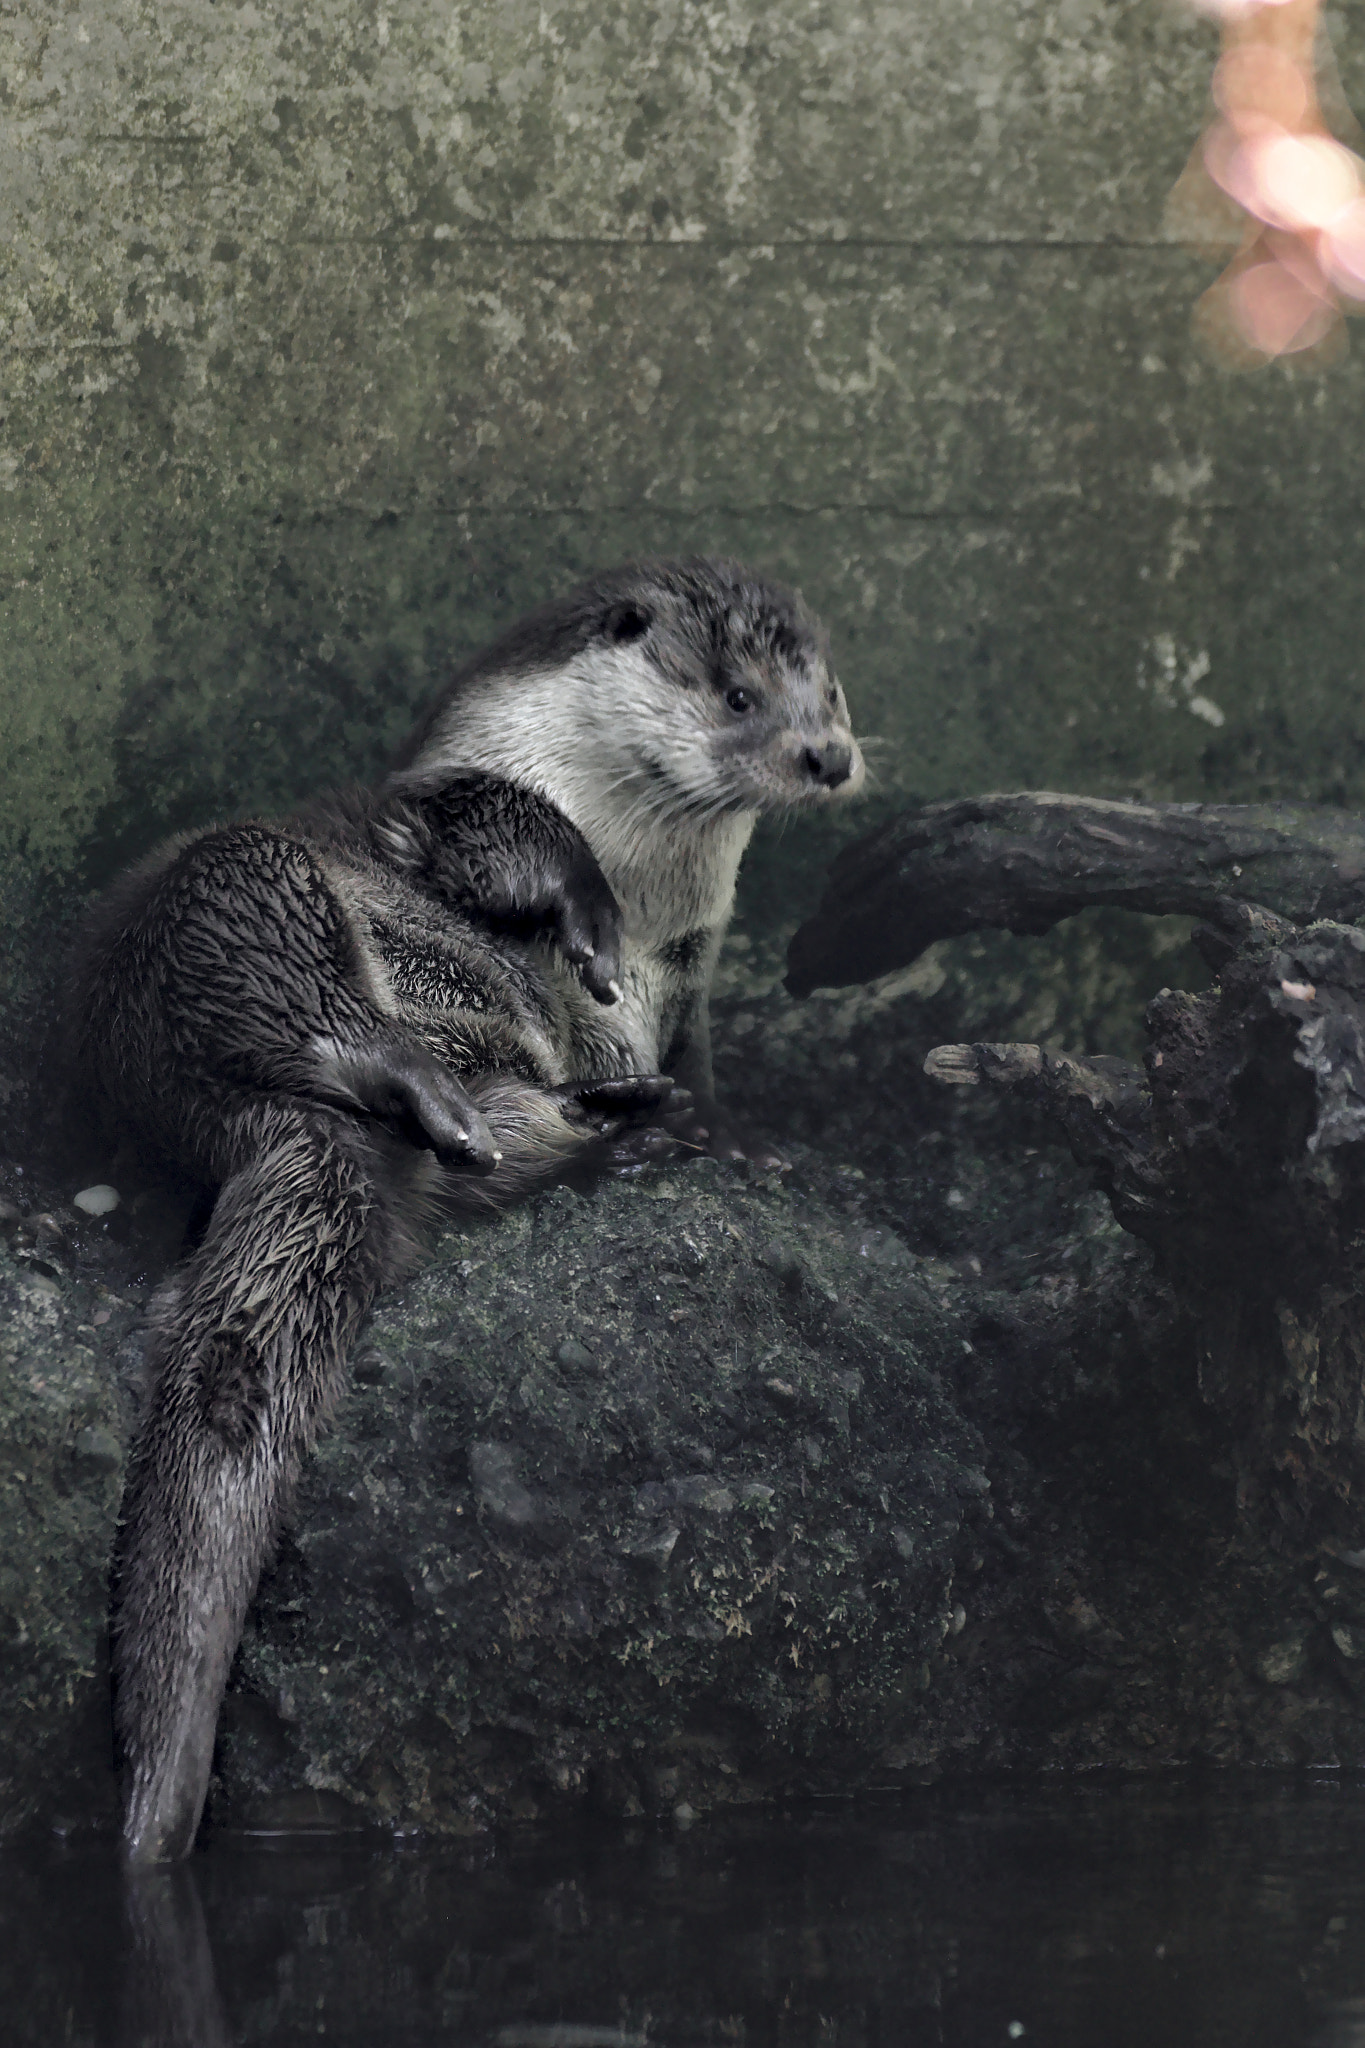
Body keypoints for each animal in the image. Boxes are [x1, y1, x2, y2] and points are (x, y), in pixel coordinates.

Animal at [71, 557, 864, 1862]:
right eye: (741, 694)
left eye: (830, 689)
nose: (830, 754)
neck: (655, 903)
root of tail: (261, 1116)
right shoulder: (449, 801)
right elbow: (508, 836)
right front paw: (583, 920)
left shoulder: (693, 976)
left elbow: (702, 1060)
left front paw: (746, 1138)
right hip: (227, 899)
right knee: (301, 985)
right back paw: (437, 1084)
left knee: (501, 1134)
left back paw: (620, 1124)